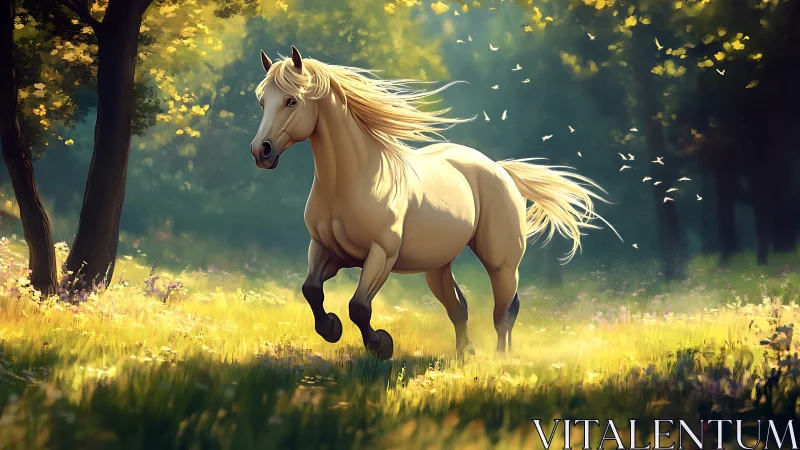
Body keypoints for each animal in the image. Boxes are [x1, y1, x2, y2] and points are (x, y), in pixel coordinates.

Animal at [250, 46, 619, 360]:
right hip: (437, 267)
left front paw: (381, 344)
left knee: (505, 310)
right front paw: (331, 328)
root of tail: (501, 170)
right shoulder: (326, 249)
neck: (353, 179)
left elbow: (359, 306)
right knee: (459, 307)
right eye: (262, 102)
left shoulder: (381, 254)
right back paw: (464, 355)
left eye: (291, 101)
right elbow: (311, 289)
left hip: (501, 263)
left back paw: (500, 358)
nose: (261, 151)